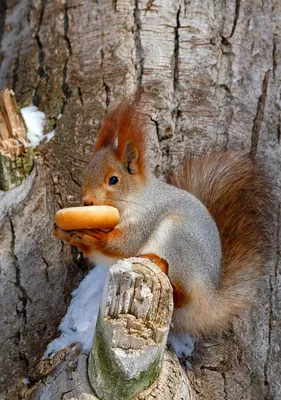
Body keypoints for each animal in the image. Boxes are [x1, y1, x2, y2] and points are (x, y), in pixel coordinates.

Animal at [53, 95, 272, 336]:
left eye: (114, 180)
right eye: (84, 175)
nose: (87, 202)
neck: (136, 198)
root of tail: (211, 297)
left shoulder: (147, 217)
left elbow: (124, 245)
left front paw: (94, 234)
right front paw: (69, 233)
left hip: (178, 238)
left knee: (185, 295)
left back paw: (160, 265)